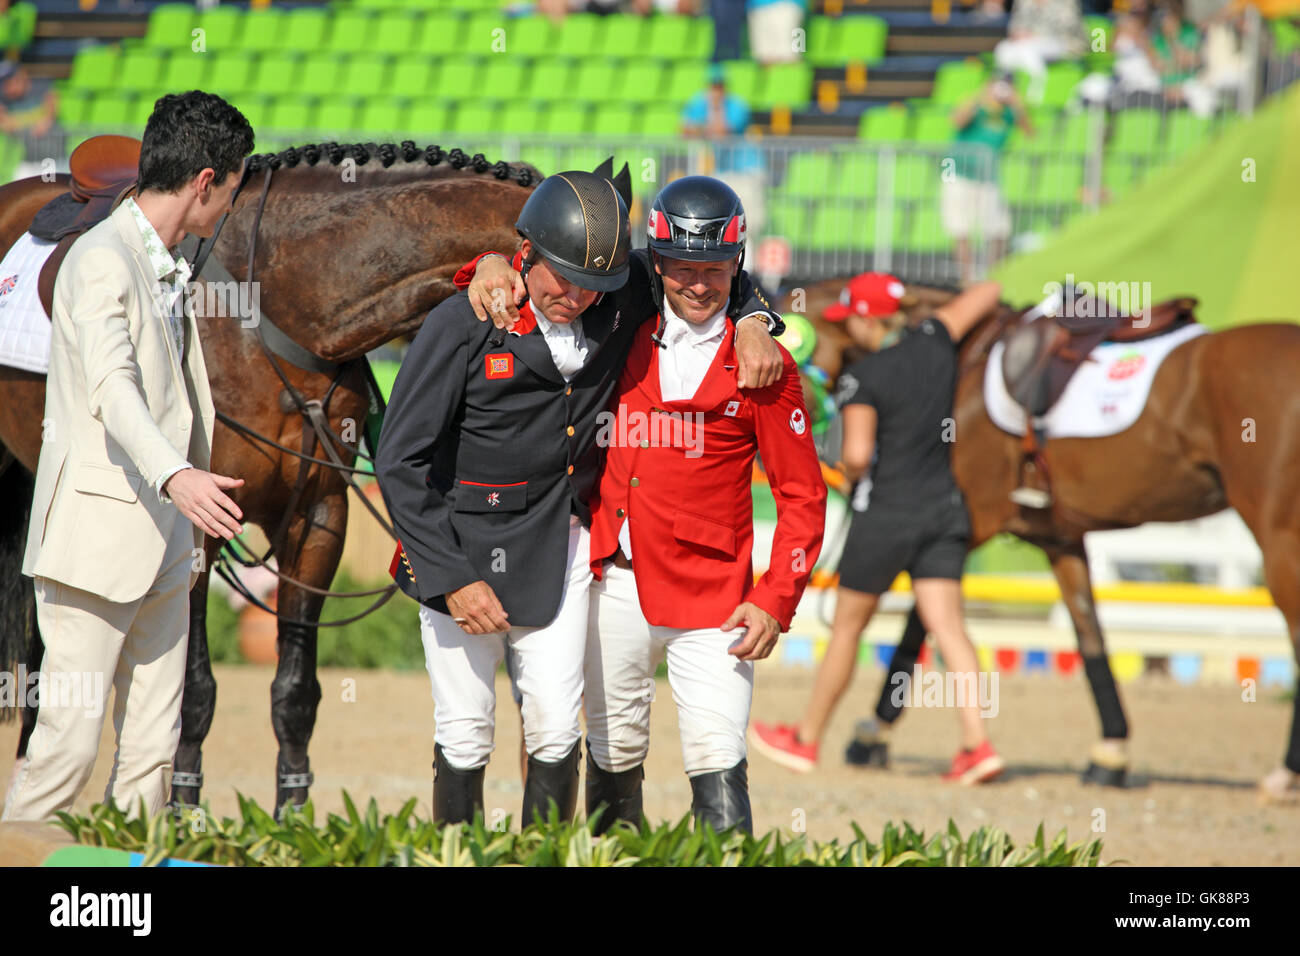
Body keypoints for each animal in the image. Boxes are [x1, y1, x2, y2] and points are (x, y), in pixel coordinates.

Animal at [0, 141, 540, 811]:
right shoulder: (201, 526)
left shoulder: (318, 517)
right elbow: (195, 688)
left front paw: (291, 815)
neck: (277, 307)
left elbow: (296, 690)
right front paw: (184, 810)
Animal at [774, 274, 1294, 801]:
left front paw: (871, 735)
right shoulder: (1062, 541)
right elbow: (1089, 635)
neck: (964, 364)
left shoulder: (968, 525)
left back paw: (1283, 776)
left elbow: (917, 627)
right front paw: (1109, 754)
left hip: (1277, 537)